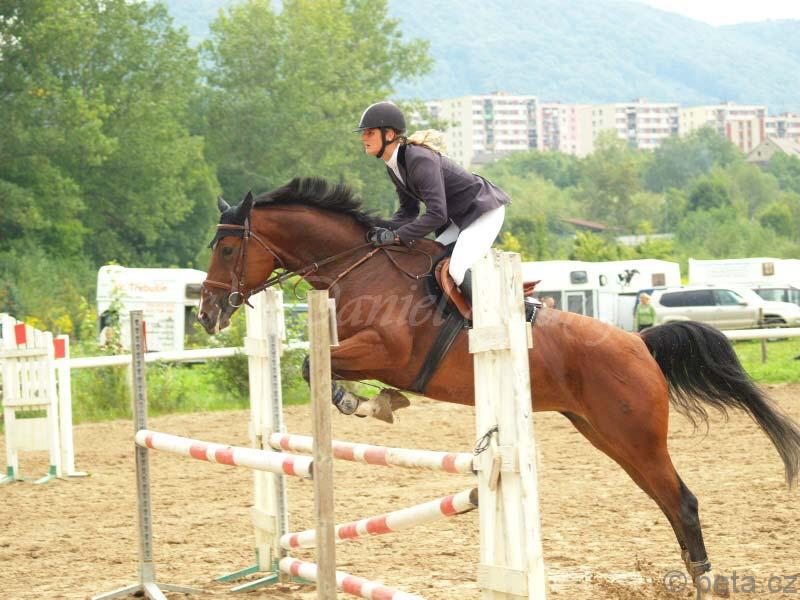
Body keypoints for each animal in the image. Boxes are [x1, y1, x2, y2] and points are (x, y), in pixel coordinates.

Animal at [198, 177, 800, 599]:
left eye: (226, 250)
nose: (207, 313)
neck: (360, 268)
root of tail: (639, 341)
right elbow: (315, 366)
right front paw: (376, 401)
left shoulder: (390, 353)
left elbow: (313, 367)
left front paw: (367, 402)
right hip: (606, 436)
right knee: (669, 502)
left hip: (636, 437)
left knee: (683, 502)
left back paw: (704, 583)